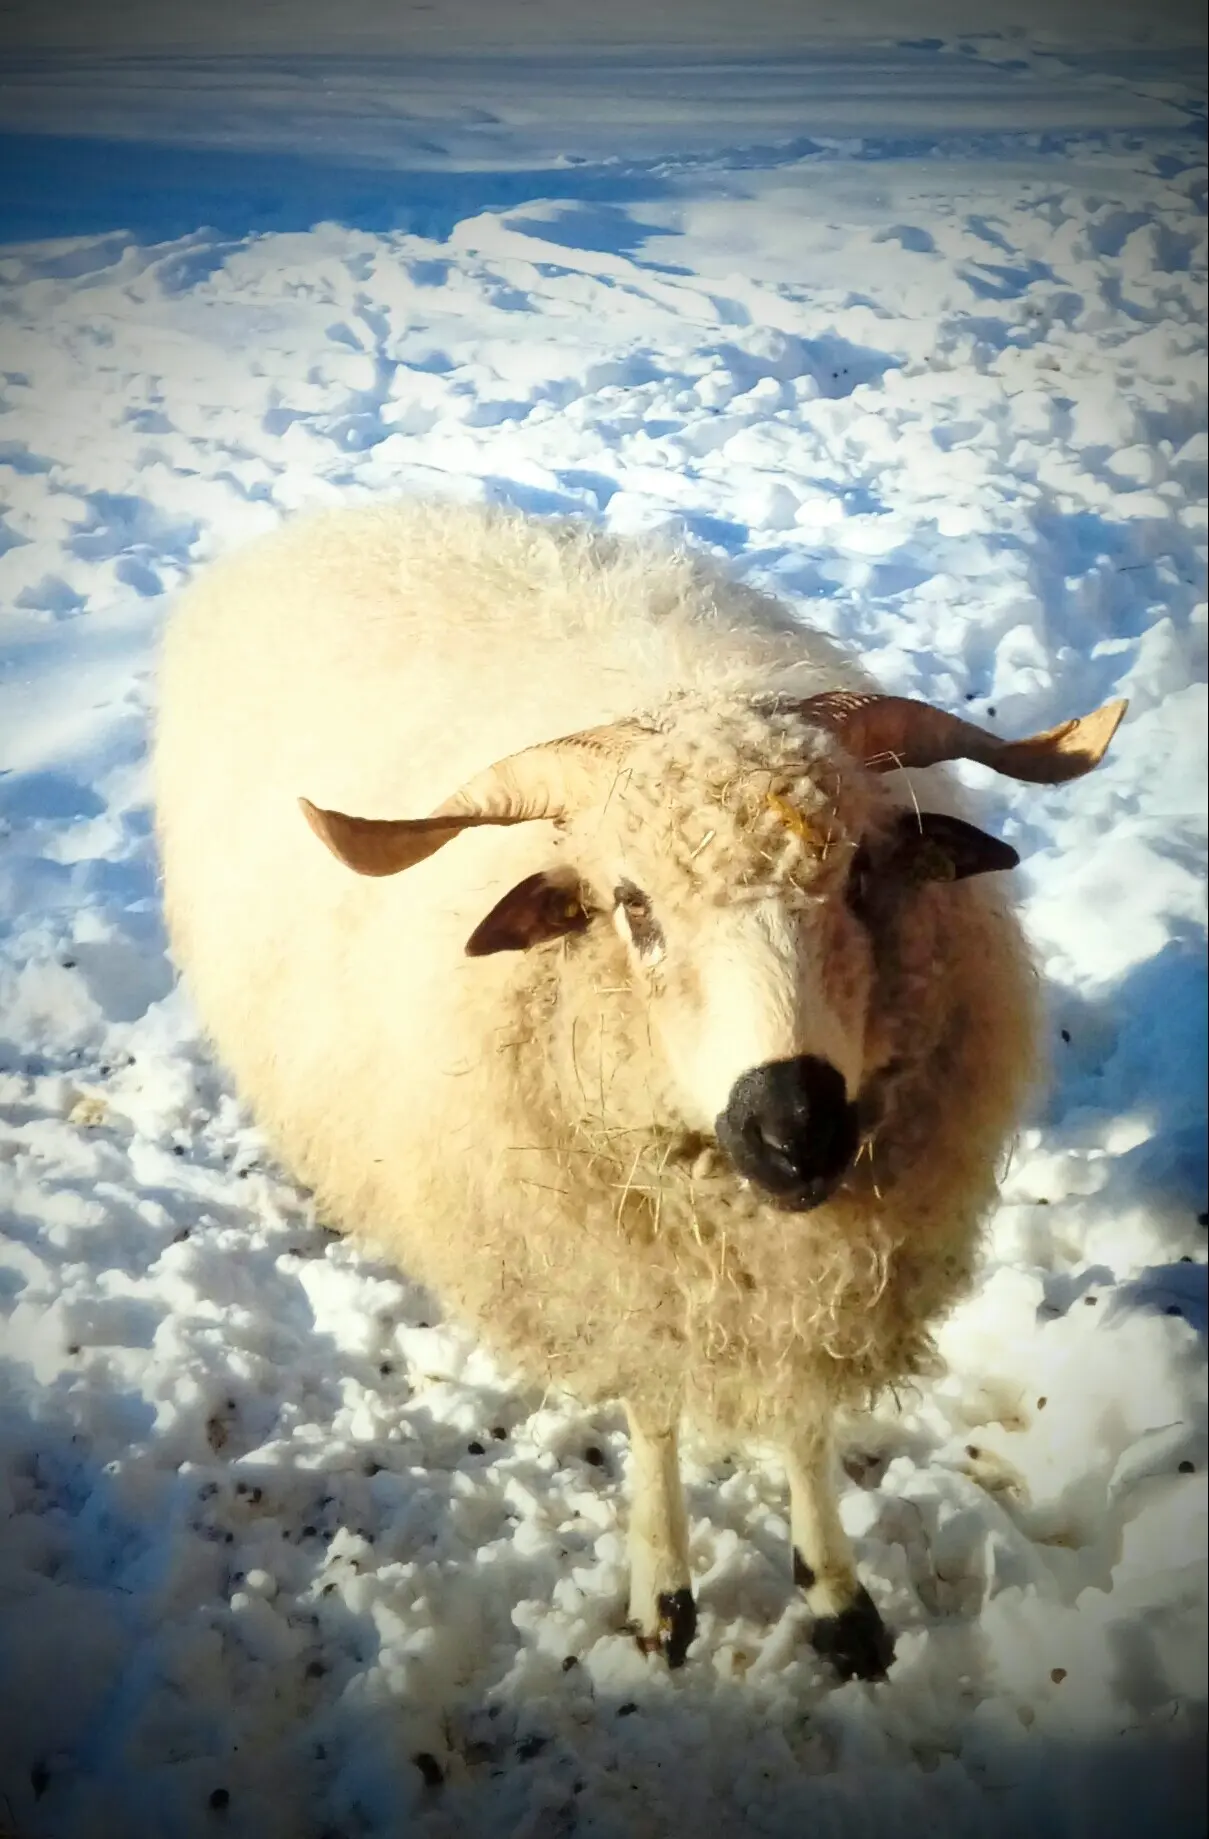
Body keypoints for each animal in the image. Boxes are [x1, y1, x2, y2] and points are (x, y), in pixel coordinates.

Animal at [150, 500, 1118, 1684]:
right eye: (631, 906)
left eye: (860, 874)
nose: (795, 1127)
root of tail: (333, 517)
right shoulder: (624, 1272)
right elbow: (655, 1416)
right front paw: (664, 1595)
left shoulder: (805, 1285)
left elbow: (802, 1425)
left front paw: (837, 1599)